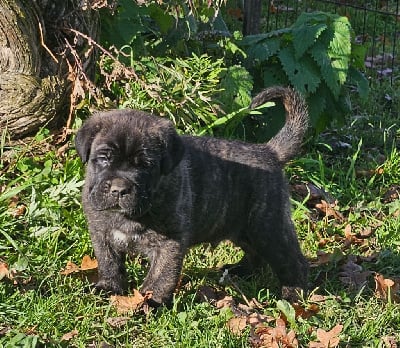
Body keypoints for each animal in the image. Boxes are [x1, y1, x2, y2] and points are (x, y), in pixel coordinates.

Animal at [75, 85, 310, 306]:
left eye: (145, 165)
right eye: (104, 159)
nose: (119, 188)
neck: (127, 216)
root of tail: (269, 152)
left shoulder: (169, 243)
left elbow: (160, 277)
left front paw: (150, 302)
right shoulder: (102, 234)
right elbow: (109, 263)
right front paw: (109, 288)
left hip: (267, 228)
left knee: (293, 261)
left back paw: (294, 294)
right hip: (244, 229)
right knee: (256, 254)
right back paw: (239, 271)